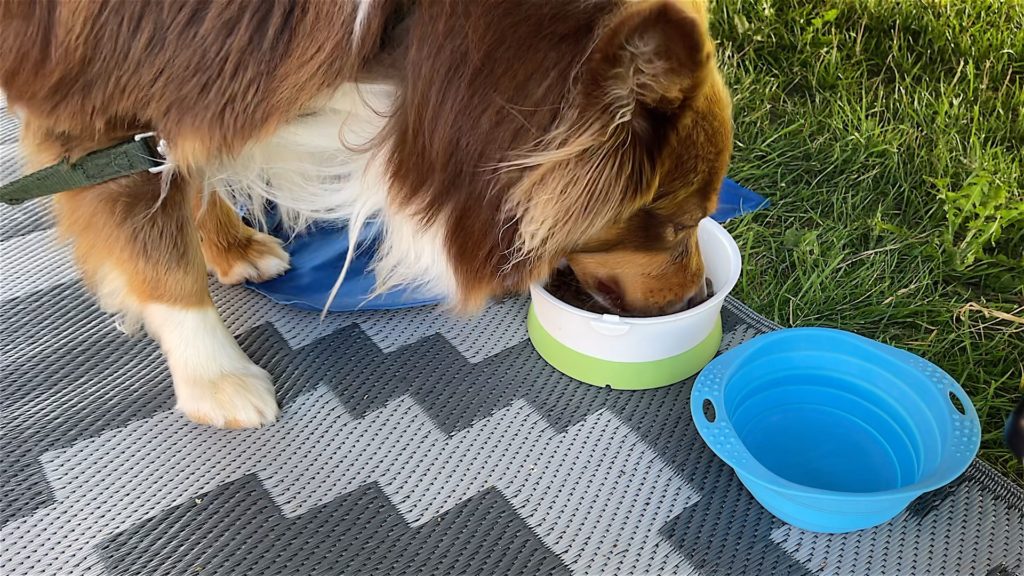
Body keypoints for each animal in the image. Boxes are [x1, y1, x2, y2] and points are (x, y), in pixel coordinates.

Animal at [2, 0, 737, 426]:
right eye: (675, 225)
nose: (698, 296)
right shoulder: (96, 101)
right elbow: (157, 253)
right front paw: (215, 376)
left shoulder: (208, 79)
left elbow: (188, 161)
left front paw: (227, 243)